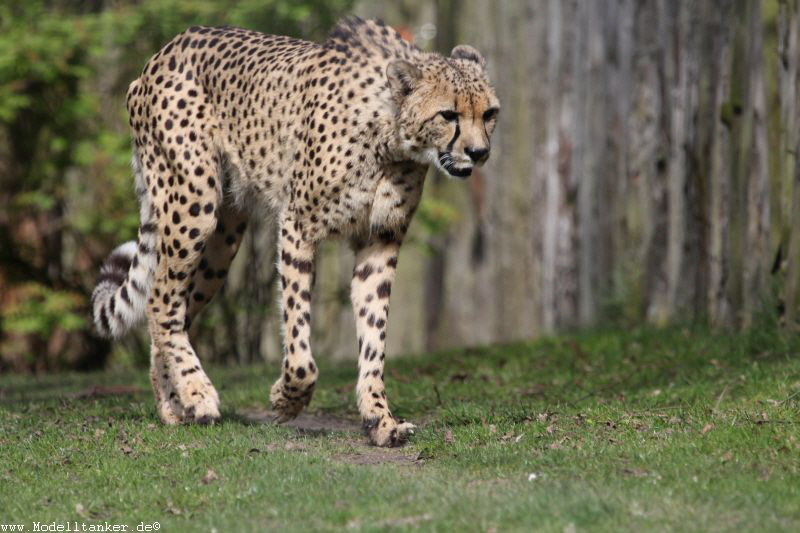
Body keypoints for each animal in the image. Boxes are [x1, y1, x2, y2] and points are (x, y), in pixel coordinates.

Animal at [90, 16, 496, 446]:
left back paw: (173, 405)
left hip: (223, 236)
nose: (479, 153)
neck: (392, 137)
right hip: (193, 202)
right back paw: (198, 393)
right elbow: (300, 339)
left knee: (173, 305)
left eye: (489, 113)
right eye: (448, 115)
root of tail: (166, 50)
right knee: (160, 301)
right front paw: (287, 399)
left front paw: (380, 419)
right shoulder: (299, 226)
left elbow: (374, 336)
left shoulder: (380, 241)